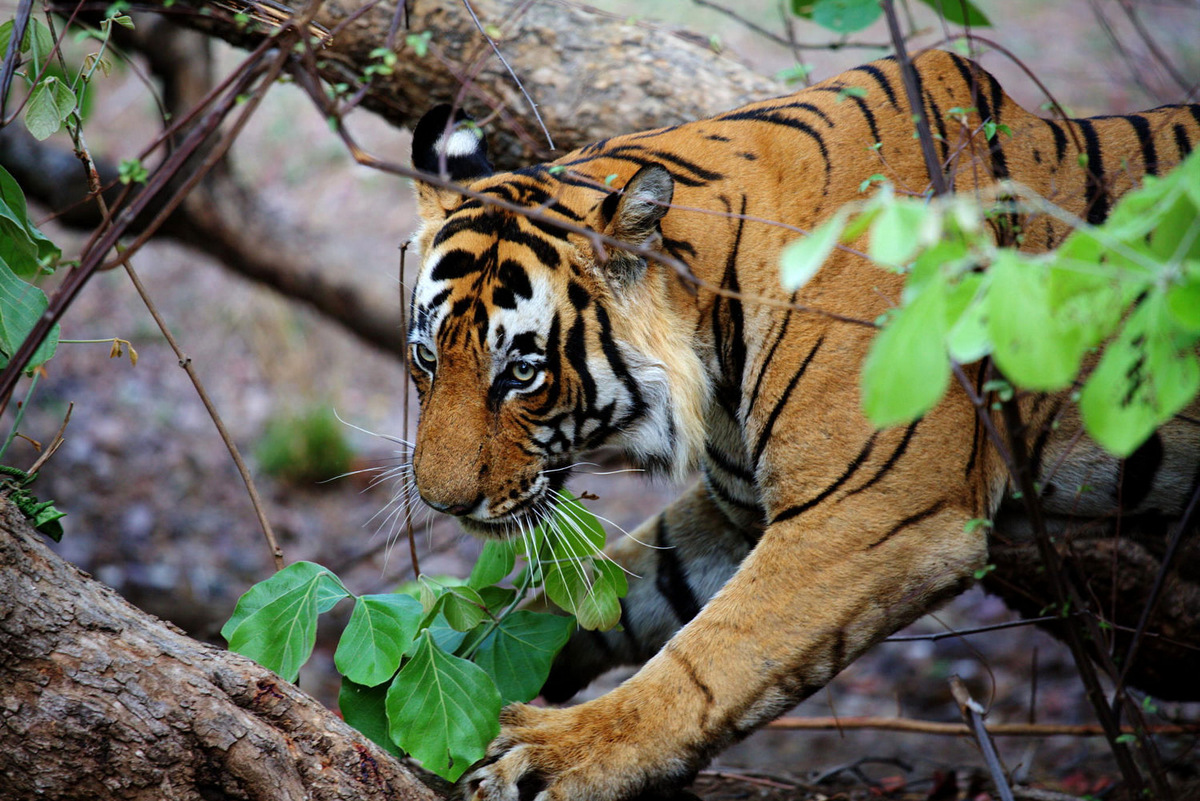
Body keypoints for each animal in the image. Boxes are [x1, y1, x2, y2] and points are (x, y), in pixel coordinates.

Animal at [405, 48, 1200, 801]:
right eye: (425, 358)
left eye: (521, 373)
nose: (441, 503)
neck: (715, 336)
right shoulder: (743, 508)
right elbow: (636, 585)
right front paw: (480, 653)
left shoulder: (869, 516)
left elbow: (716, 655)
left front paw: (553, 751)